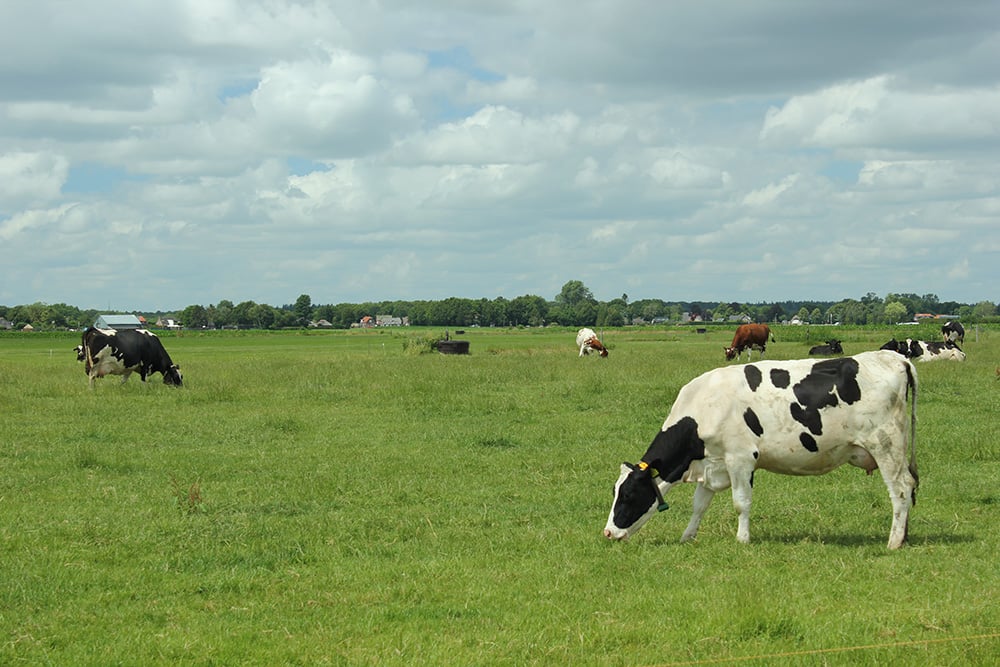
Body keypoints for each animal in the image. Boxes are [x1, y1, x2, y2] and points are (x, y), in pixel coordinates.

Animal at [604, 352, 916, 552]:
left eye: (628, 495)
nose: (608, 532)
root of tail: (894, 357)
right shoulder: (712, 464)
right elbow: (699, 505)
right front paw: (687, 536)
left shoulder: (740, 459)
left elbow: (741, 503)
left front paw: (742, 540)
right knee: (910, 486)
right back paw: (904, 537)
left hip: (885, 444)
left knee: (901, 489)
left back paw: (893, 542)